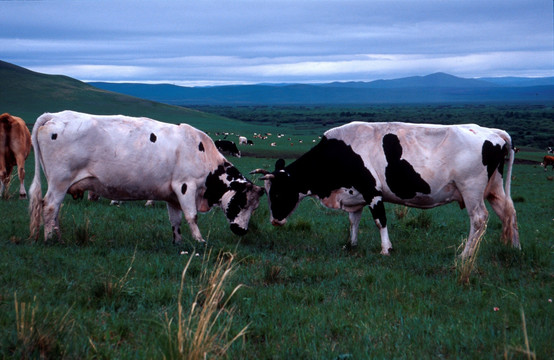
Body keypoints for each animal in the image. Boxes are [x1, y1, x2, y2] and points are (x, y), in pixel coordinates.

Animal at [29, 111, 264, 243]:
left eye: (255, 208)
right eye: (242, 203)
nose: (242, 231)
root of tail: (55, 115)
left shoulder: (172, 194)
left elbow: (176, 220)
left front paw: (178, 242)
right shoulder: (186, 186)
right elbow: (192, 216)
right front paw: (199, 240)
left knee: (55, 209)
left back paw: (58, 236)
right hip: (59, 181)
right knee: (50, 206)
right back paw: (50, 238)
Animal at [250, 121, 516, 258]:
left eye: (277, 192)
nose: (275, 221)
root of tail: (491, 131)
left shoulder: (372, 192)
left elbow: (380, 221)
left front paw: (386, 249)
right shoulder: (354, 194)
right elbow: (353, 221)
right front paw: (352, 244)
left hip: (471, 189)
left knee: (479, 219)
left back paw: (465, 255)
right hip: (494, 188)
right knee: (509, 213)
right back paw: (513, 248)